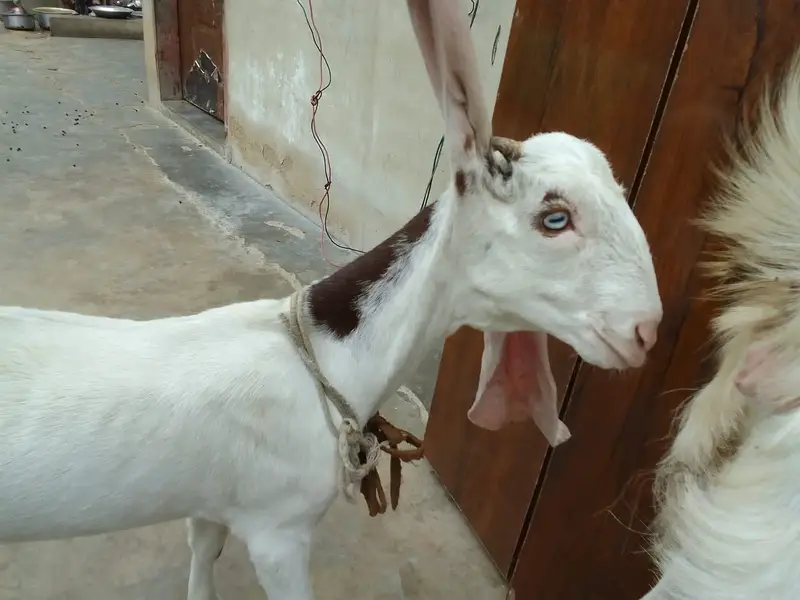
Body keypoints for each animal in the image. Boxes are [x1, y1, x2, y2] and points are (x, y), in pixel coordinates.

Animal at [0, 1, 662, 599]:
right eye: (555, 218)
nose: (646, 332)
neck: (325, 356)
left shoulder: (213, 499)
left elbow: (202, 554)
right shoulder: (278, 529)